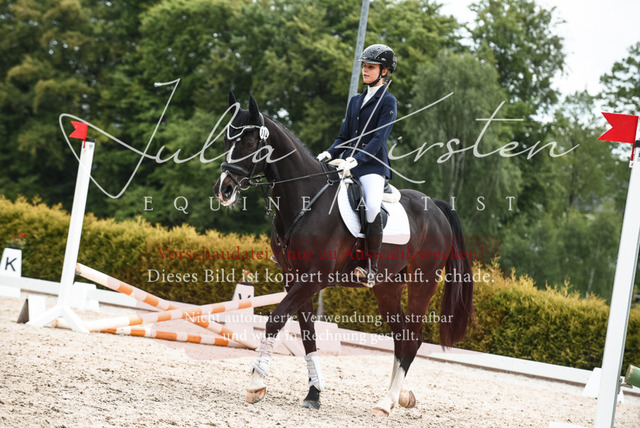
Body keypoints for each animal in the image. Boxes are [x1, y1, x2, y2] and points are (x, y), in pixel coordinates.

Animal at [213, 92, 475, 416]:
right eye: (227, 140)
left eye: (249, 143)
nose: (224, 190)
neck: (305, 201)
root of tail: (436, 207)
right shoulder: (293, 278)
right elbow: (308, 333)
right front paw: (314, 393)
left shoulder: (313, 278)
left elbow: (276, 320)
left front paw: (256, 384)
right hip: (387, 288)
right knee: (401, 337)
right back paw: (398, 396)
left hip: (422, 284)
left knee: (412, 337)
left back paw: (387, 402)